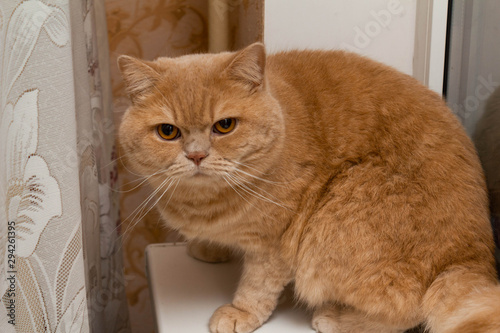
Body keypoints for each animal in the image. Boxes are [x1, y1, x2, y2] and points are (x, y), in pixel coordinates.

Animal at [118, 42, 500, 330]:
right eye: (168, 132)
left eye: (224, 126)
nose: (196, 155)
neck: (204, 202)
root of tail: (472, 256)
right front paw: (210, 247)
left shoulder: (277, 242)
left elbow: (258, 283)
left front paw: (241, 312)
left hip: (334, 219)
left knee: (407, 311)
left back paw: (337, 319)